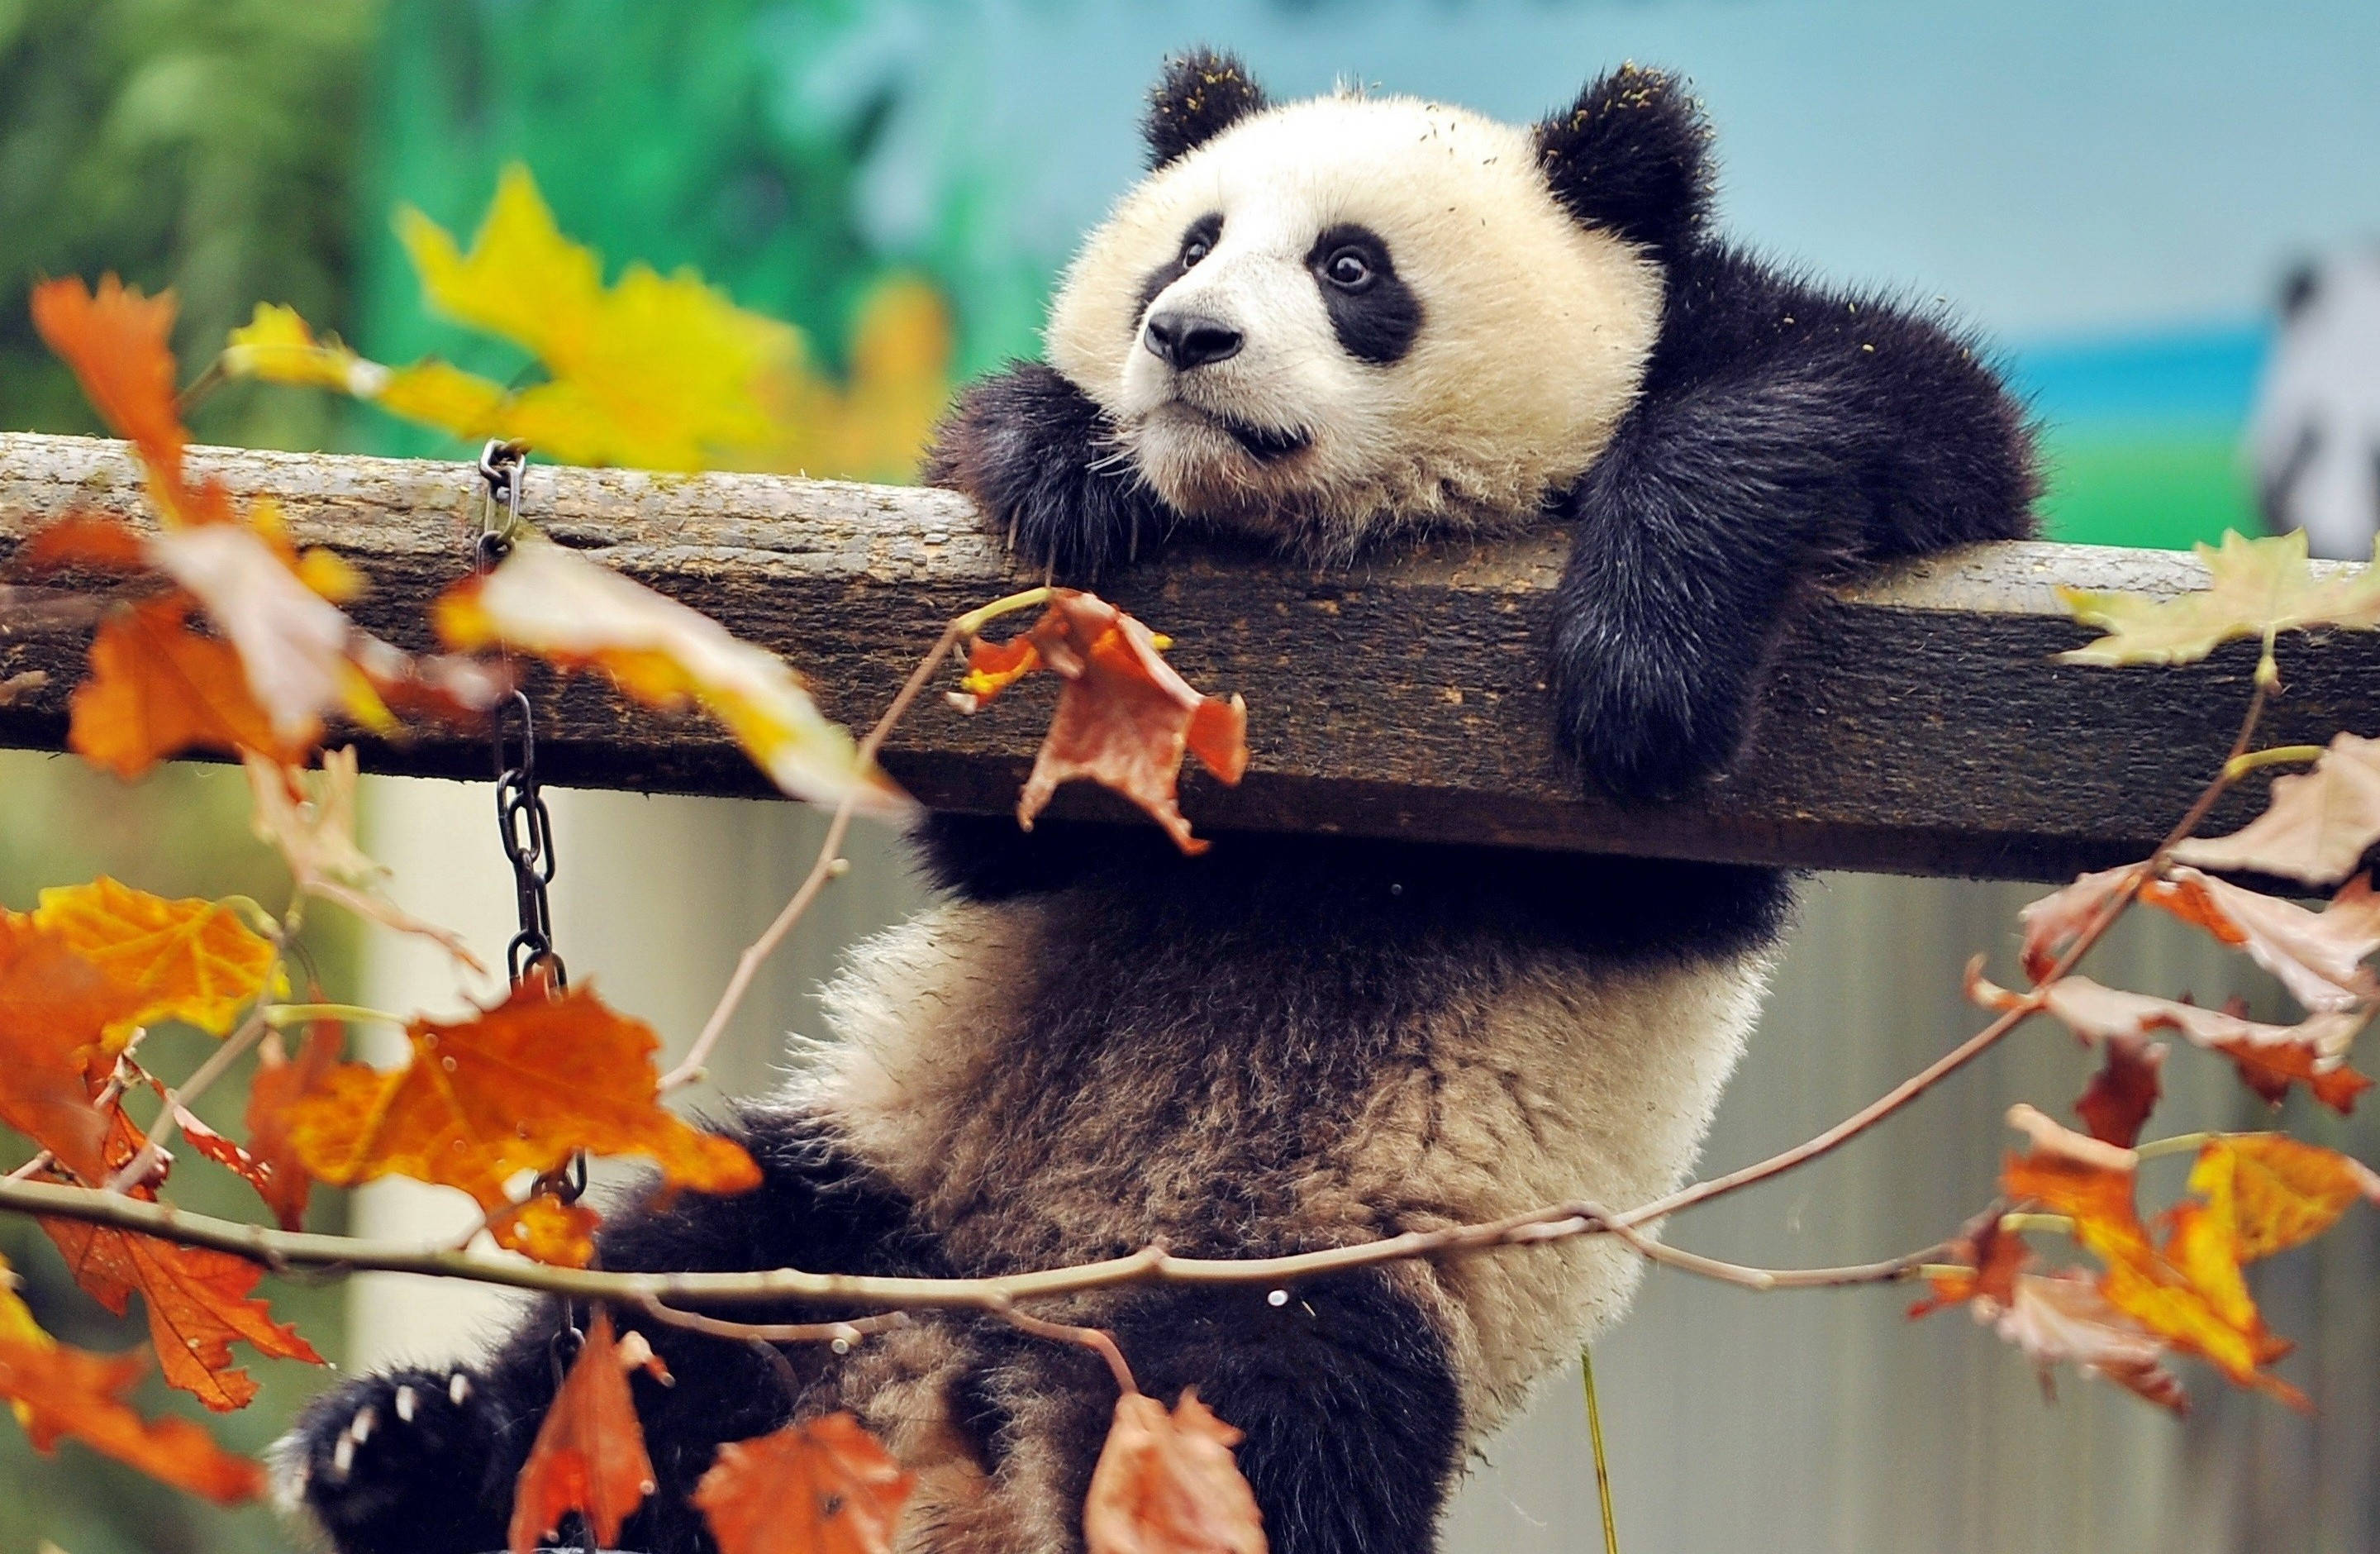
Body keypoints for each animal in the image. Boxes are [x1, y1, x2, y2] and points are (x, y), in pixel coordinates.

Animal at [284, 53, 2036, 1554]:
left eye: (1352, 269)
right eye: (1185, 244)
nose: (1188, 337)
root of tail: (958, 1399)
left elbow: (1888, 415)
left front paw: (1644, 657)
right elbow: (1005, 826)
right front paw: (1058, 461)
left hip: (1327, 1273)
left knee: (1284, 1418)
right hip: (881, 1187)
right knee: (672, 1305)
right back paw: (410, 1453)